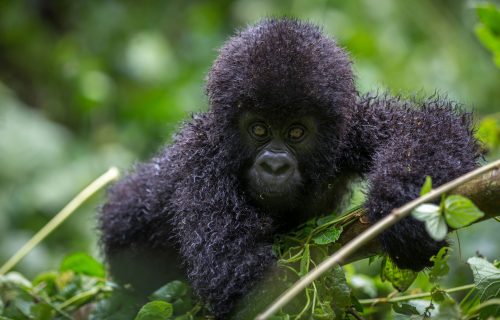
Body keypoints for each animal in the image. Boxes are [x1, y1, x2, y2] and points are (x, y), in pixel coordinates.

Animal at [98, 18, 480, 316]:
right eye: (259, 130)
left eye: (296, 132)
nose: (274, 165)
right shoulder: (201, 161)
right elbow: (239, 280)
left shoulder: (350, 127)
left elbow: (426, 127)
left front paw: (404, 209)